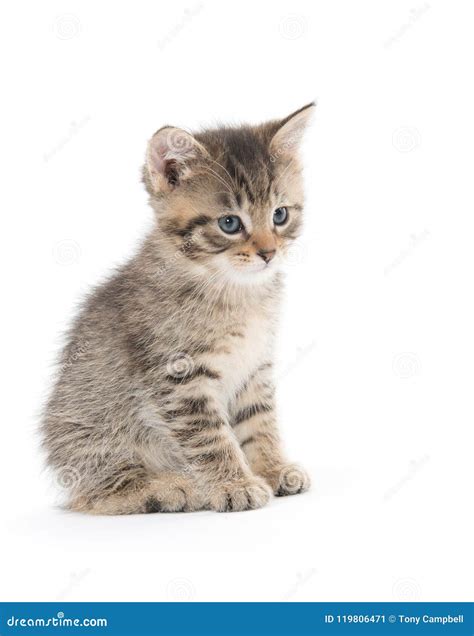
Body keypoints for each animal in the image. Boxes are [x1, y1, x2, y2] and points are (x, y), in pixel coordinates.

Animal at [41, 103, 314, 512]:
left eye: (280, 215)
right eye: (229, 223)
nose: (269, 253)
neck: (235, 290)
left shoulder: (255, 367)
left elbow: (259, 422)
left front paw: (272, 468)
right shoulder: (178, 377)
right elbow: (211, 437)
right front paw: (234, 485)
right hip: (93, 430)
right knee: (98, 494)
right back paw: (170, 487)